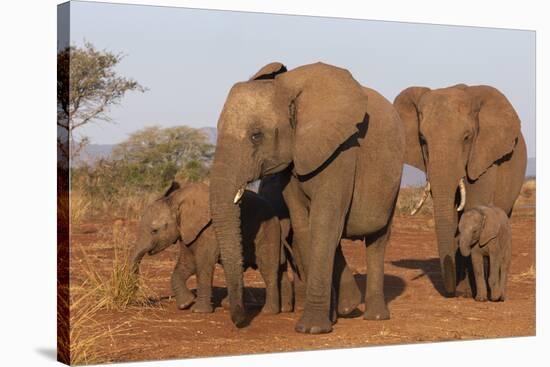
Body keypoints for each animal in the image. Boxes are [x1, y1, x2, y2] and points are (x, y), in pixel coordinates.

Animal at [131, 181, 294, 314]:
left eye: (154, 231)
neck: (177, 200)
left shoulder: (210, 230)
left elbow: (203, 263)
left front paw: (198, 311)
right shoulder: (187, 231)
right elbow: (187, 263)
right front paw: (186, 303)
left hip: (267, 231)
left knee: (268, 268)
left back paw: (269, 311)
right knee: (280, 269)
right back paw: (284, 309)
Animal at [210, 62, 406, 334]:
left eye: (256, 136)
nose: (240, 321)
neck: (289, 87)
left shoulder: (343, 150)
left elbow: (324, 223)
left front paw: (312, 329)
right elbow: (305, 227)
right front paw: (332, 317)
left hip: (393, 181)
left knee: (378, 239)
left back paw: (375, 317)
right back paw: (349, 307)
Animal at [394, 85, 528, 298]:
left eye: (467, 138)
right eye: (422, 139)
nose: (450, 293)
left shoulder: (483, 159)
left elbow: (472, 207)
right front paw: (464, 292)